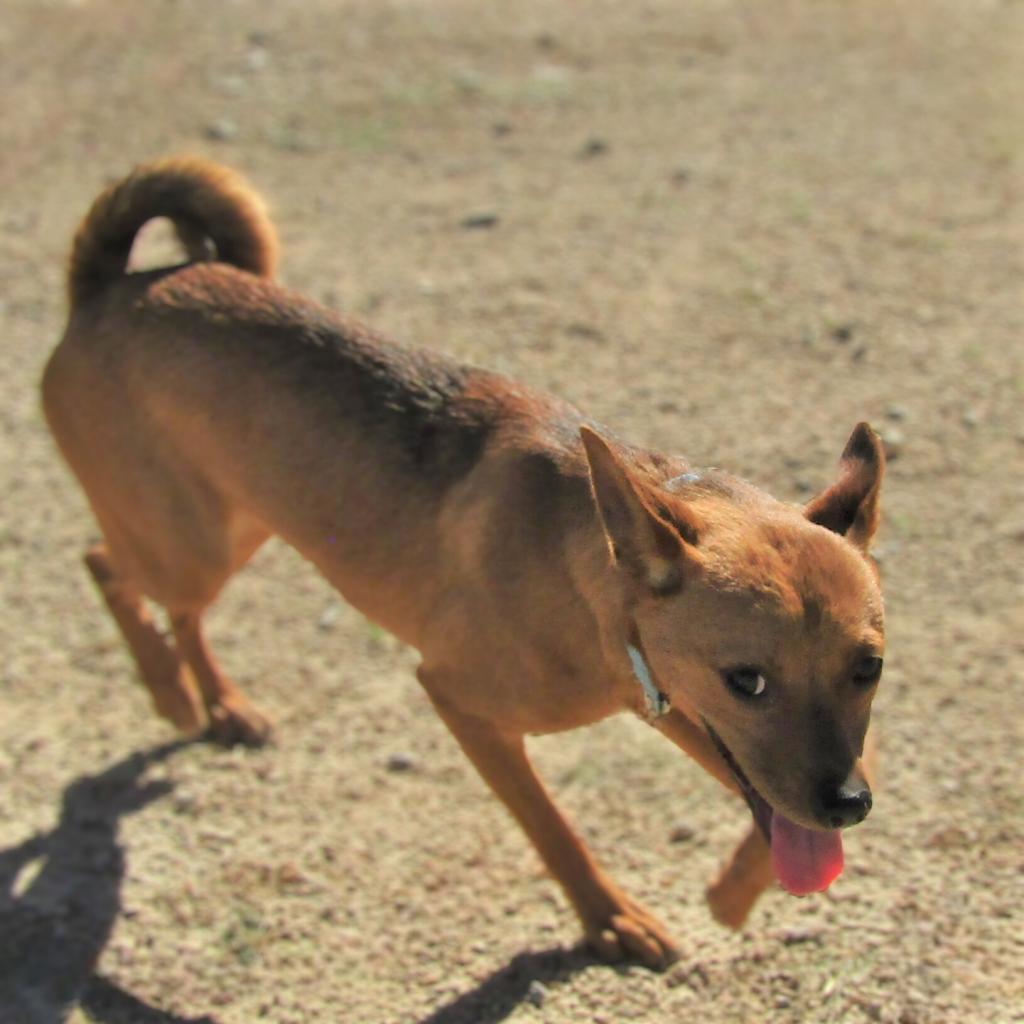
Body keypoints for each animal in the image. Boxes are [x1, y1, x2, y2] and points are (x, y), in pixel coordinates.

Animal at [39, 159, 884, 966]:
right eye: (747, 680)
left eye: (868, 669)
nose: (849, 805)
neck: (592, 582)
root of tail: (110, 283)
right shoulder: (461, 699)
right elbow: (552, 826)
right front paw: (610, 920)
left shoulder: (700, 720)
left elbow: (781, 814)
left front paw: (731, 898)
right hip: (189, 542)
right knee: (105, 563)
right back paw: (171, 693)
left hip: (238, 522)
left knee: (172, 602)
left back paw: (219, 705)